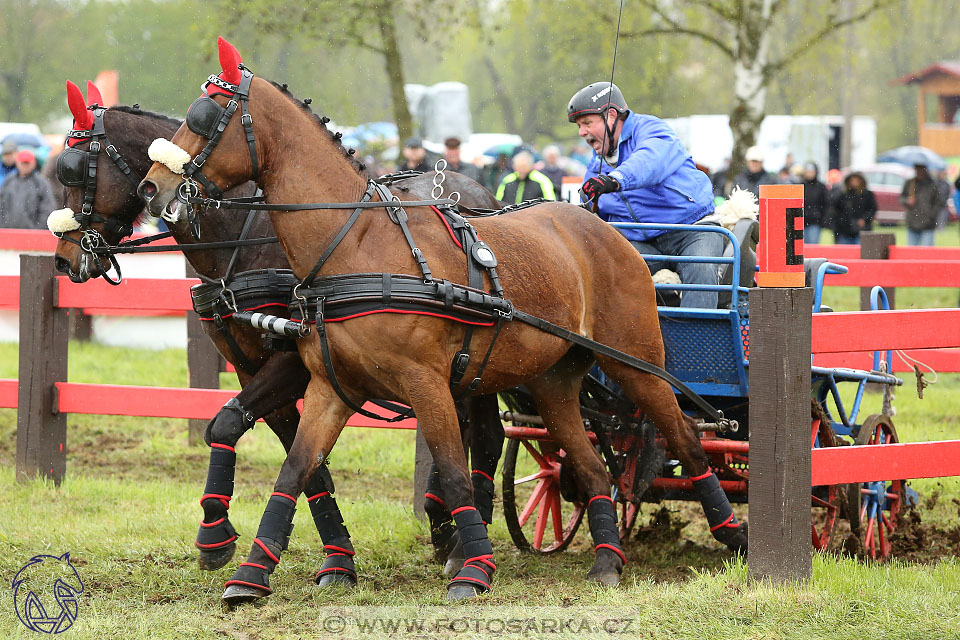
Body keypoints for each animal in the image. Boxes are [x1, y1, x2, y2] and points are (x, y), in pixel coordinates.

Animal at [47, 81, 502, 592]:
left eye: (73, 169)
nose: (64, 259)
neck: (247, 240)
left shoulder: (296, 363)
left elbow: (230, 424)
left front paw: (216, 535)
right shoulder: (256, 372)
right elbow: (296, 458)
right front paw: (336, 558)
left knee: (488, 433)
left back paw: (464, 544)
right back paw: (443, 525)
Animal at [139, 38, 748, 600]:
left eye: (204, 115)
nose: (152, 187)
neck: (356, 246)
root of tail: (602, 228)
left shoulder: (425, 382)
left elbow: (454, 471)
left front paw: (473, 567)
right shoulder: (331, 387)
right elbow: (296, 469)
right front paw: (251, 573)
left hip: (636, 364)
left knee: (687, 441)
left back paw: (733, 535)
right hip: (553, 381)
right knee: (592, 468)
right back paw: (606, 562)